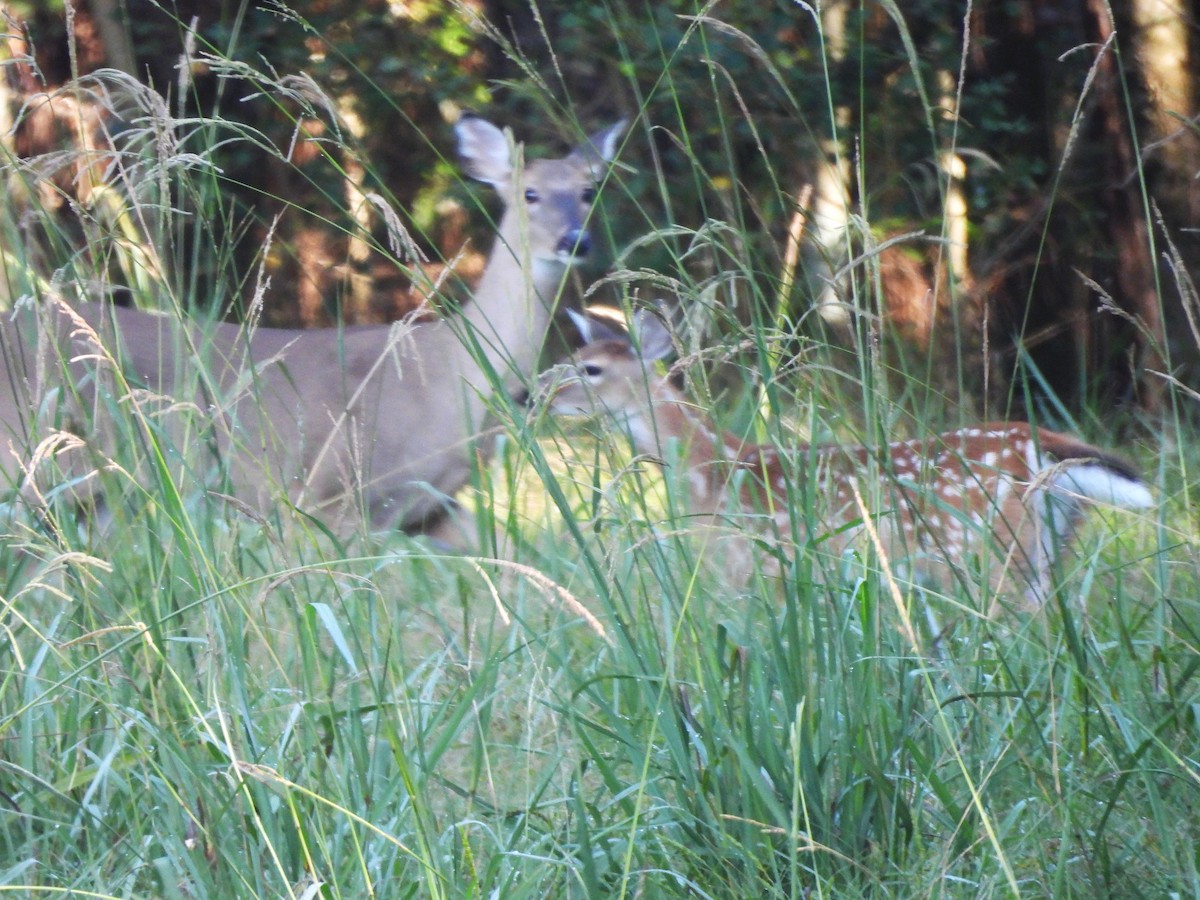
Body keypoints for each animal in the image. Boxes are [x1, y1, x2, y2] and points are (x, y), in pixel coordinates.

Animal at [0, 115, 626, 539]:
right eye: (529, 193)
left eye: (588, 191)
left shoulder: (434, 509)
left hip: (92, 499)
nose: (577, 240)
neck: (448, 379)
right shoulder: (330, 497)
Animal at [537, 309, 1155, 603]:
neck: (715, 473)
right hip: (1047, 551)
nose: (533, 395)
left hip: (986, 550)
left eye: (590, 369)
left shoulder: (760, 565)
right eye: (572, 357)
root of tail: (1044, 447)